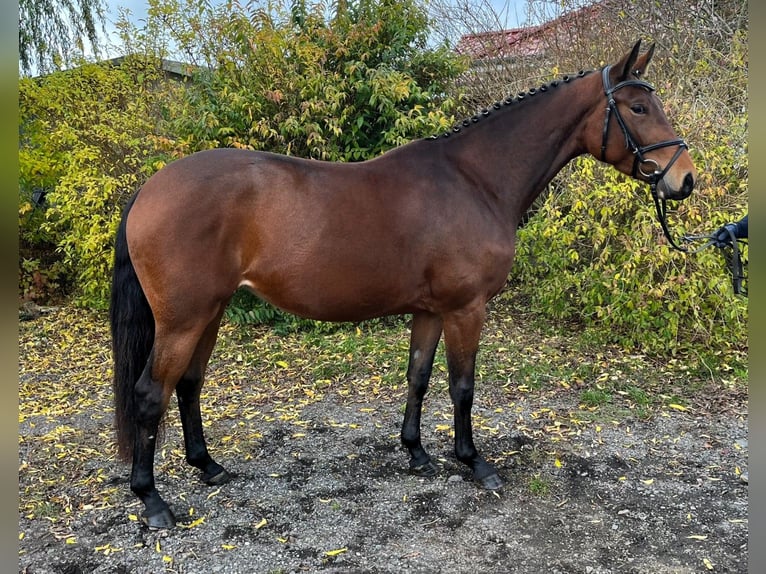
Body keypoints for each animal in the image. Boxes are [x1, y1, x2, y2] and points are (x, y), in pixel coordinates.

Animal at [112, 39, 696, 532]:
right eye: (638, 108)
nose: (684, 179)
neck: (474, 181)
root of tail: (150, 188)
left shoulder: (431, 310)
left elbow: (418, 377)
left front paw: (416, 452)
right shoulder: (466, 309)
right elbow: (462, 386)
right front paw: (474, 462)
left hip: (209, 312)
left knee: (188, 385)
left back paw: (208, 467)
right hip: (183, 319)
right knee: (150, 395)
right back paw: (153, 502)